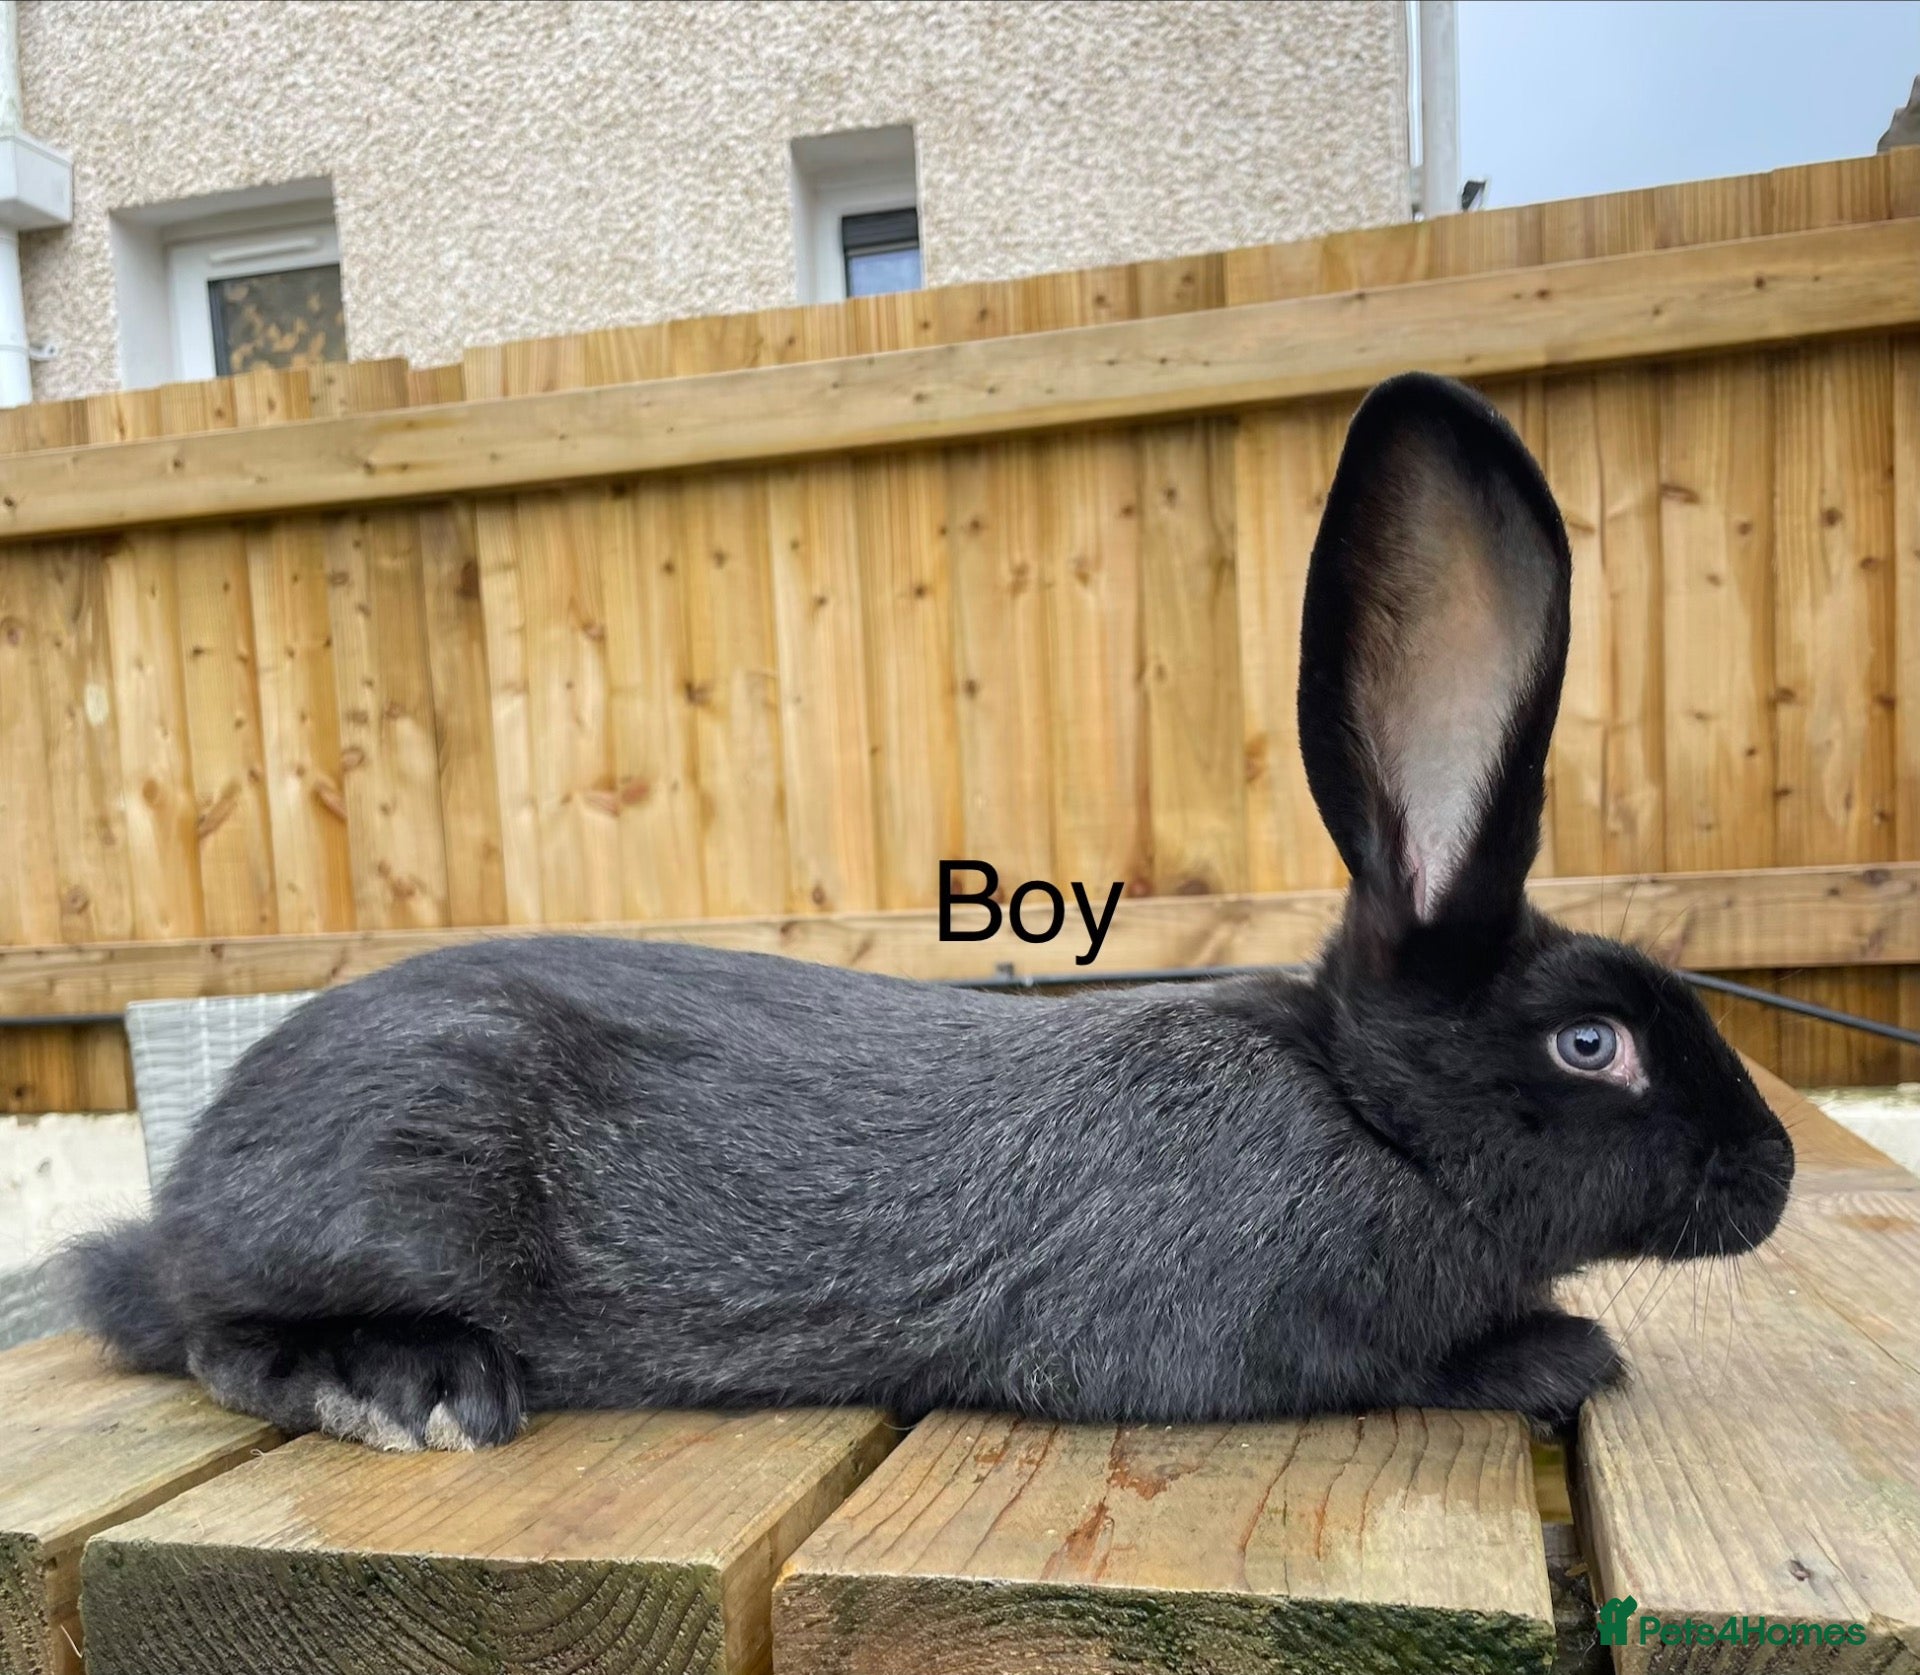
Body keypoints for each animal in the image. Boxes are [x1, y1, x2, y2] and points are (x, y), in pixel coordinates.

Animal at [70, 372, 1794, 1452]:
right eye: (1593, 1042)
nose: (1775, 1171)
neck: (1365, 1110)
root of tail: (197, 1179)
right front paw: (1560, 1352)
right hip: (397, 1160)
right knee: (215, 1331)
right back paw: (412, 1384)